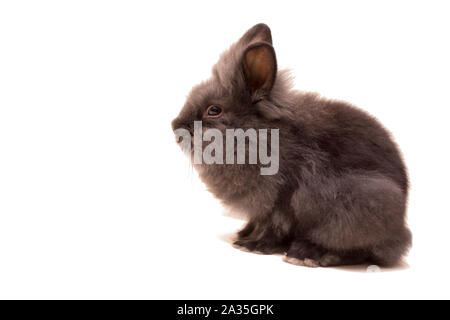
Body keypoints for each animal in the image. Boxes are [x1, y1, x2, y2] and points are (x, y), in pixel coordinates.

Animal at [171, 23, 412, 266]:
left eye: (214, 110)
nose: (175, 126)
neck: (256, 134)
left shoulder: (283, 197)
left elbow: (275, 226)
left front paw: (253, 246)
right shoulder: (263, 207)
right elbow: (257, 221)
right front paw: (243, 235)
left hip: (368, 202)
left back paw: (309, 254)